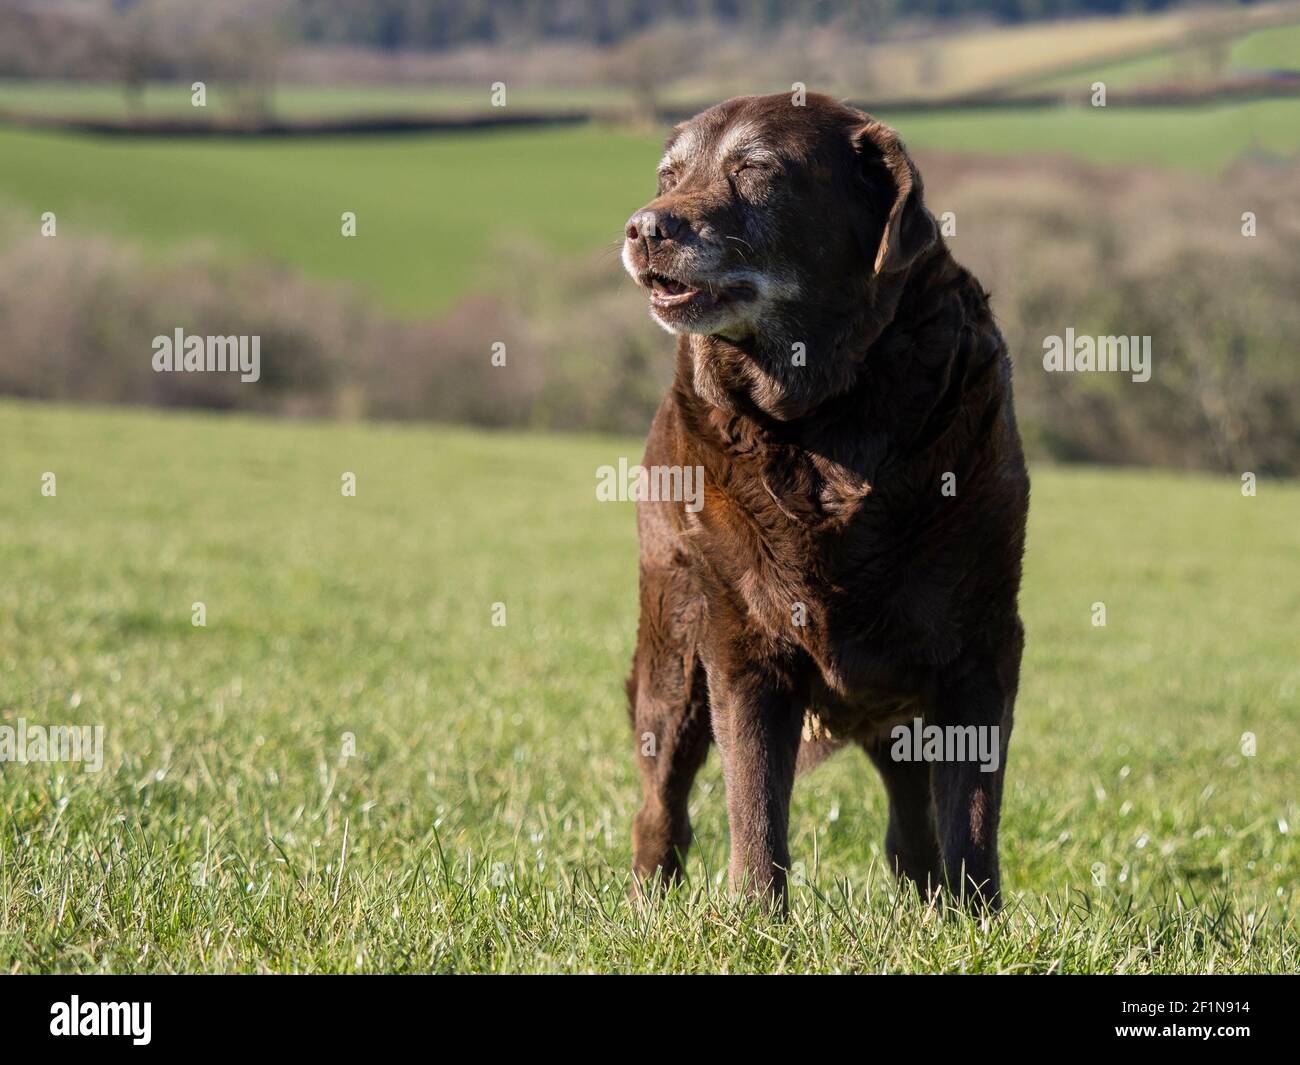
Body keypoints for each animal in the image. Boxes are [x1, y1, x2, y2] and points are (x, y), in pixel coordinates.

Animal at [624, 91, 1029, 910]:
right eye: (668, 175)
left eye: (755, 169)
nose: (646, 226)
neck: (821, 419)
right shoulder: (741, 646)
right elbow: (754, 806)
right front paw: (755, 919)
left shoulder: (981, 648)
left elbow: (971, 814)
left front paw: (976, 921)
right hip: (673, 654)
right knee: (662, 806)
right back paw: (646, 904)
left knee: (913, 830)